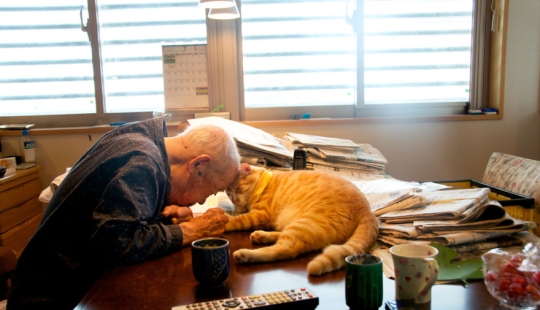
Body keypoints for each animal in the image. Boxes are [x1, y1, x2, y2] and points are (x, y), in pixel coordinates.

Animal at [224, 162, 380, 276]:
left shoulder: (260, 215)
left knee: (284, 249)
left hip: (304, 223)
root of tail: (367, 209)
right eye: (229, 195)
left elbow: (237, 220)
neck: (264, 184)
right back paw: (261, 236)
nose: (235, 201)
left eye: (238, 189)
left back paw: (245, 254)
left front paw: (224, 221)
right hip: (300, 223)